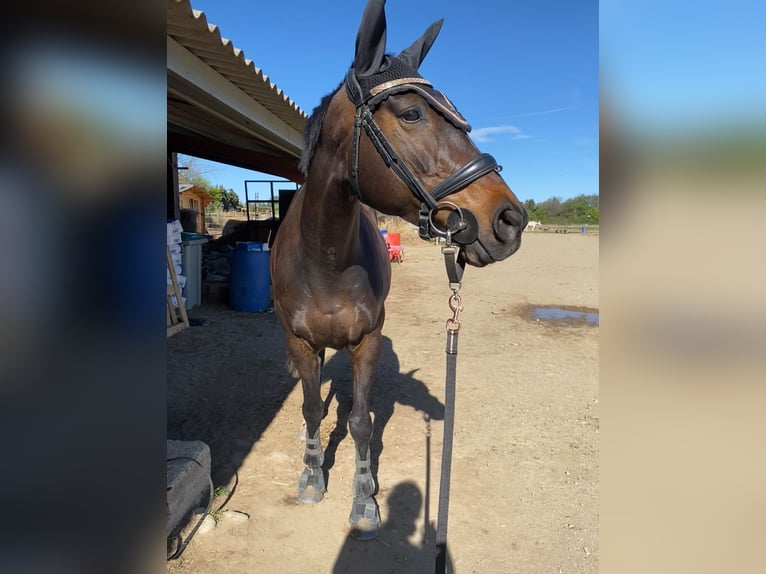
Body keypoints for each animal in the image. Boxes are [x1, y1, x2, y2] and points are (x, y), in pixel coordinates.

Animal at [271, 0, 528, 539]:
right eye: (411, 113)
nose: (510, 220)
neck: (325, 260)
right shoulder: (300, 341)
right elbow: (310, 407)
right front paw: (312, 478)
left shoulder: (366, 341)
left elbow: (362, 421)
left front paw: (364, 498)